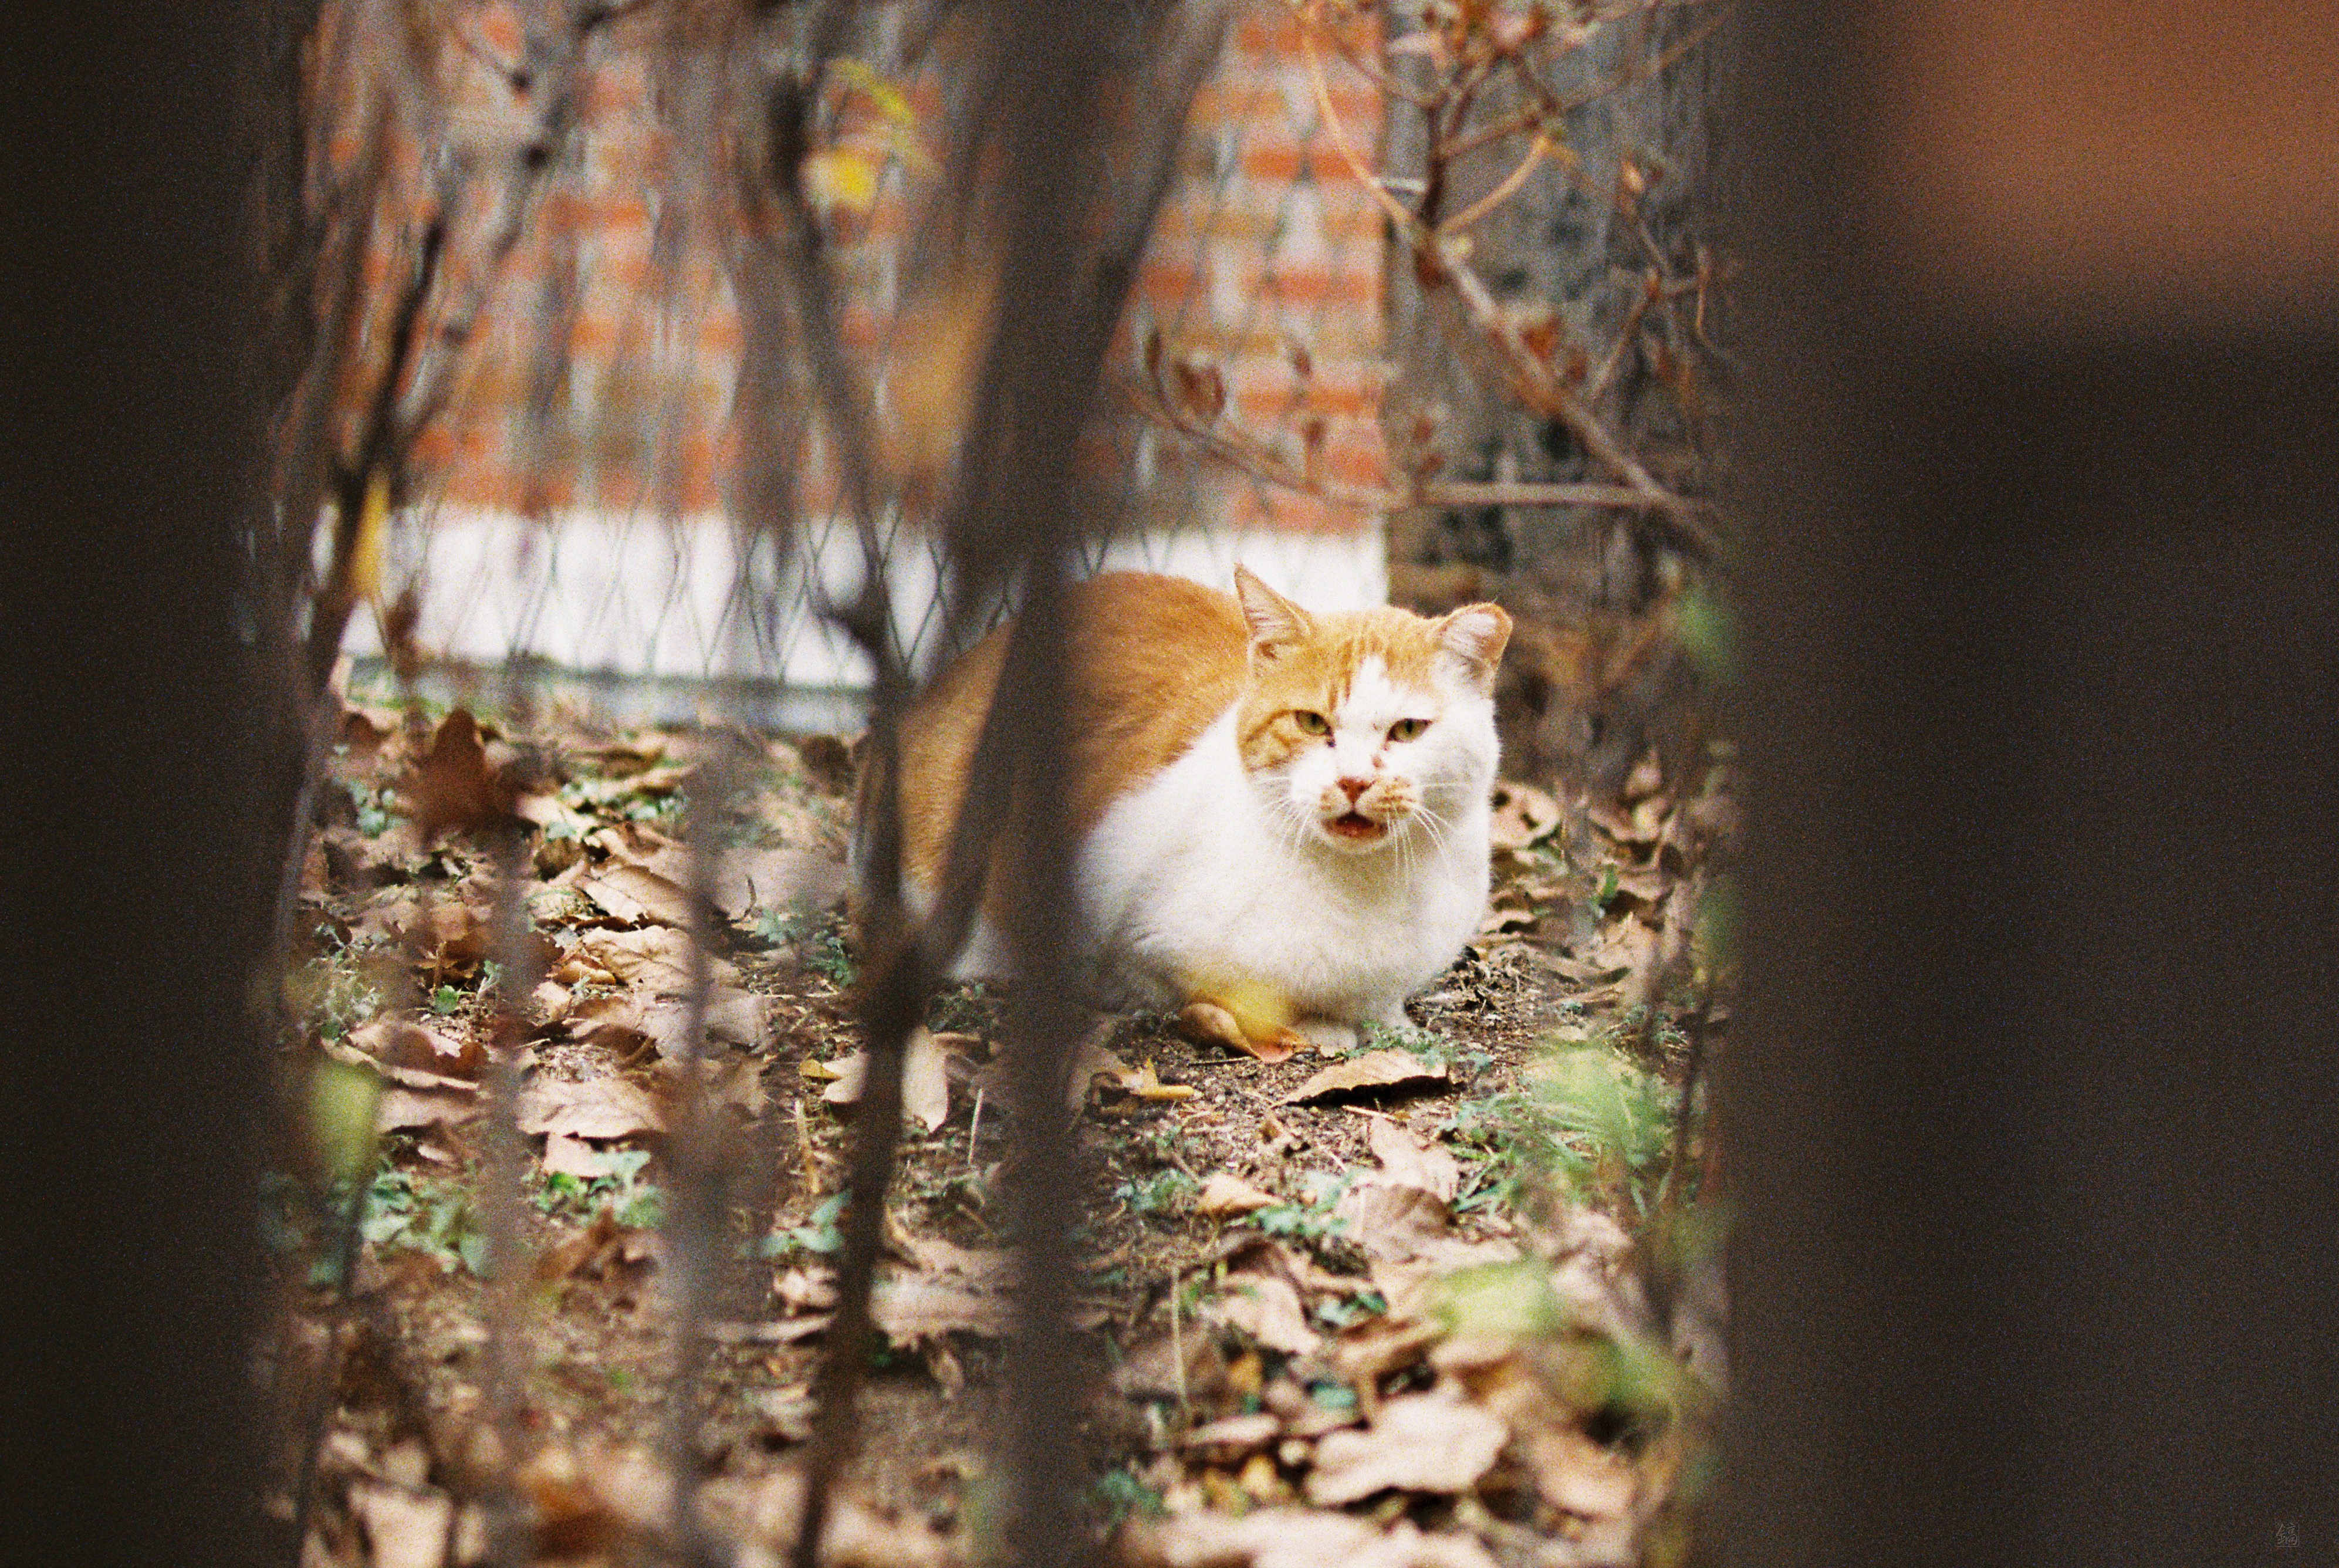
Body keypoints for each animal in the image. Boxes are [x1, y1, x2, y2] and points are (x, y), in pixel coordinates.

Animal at [869, 566, 1510, 1061]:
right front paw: (1324, 1025)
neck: (1366, 885)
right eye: (1310, 722)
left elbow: (1379, 1001)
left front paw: (1387, 1021)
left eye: (1407, 730)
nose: (1354, 780)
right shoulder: (1122, 942)